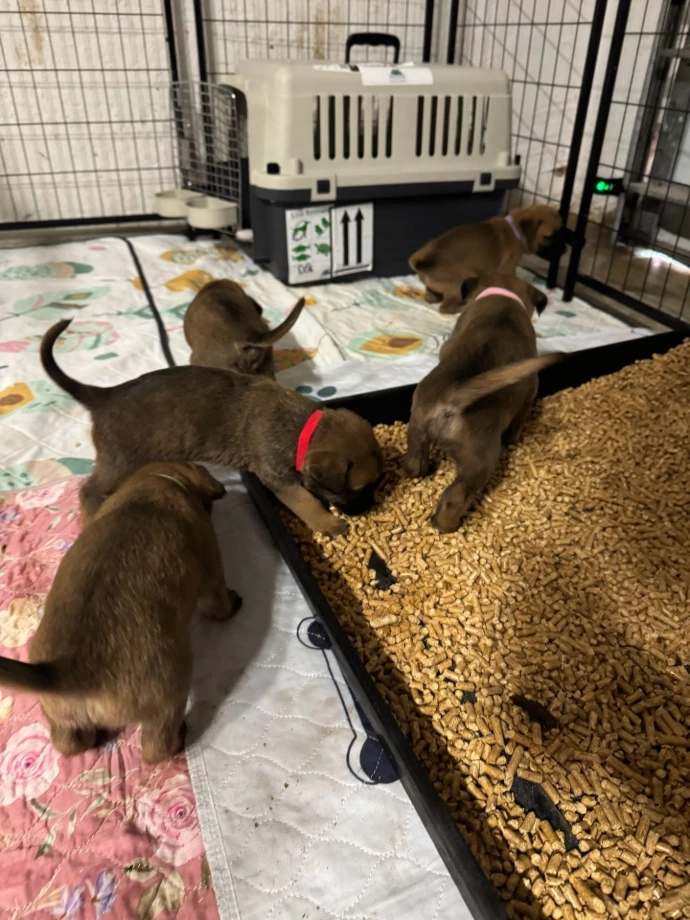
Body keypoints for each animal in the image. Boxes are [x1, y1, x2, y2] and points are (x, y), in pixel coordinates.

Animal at [0, 461, 241, 762]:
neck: (153, 483)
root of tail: (69, 671)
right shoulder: (212, 572)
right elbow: (219, 601)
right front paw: (233, 604)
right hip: (169, 692)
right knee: (155, 747)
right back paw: (179, 737)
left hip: (60, 717)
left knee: (70, 743)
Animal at [41, 320, 383, 537]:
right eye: (356, 489)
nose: (368, 509)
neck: (303, 429)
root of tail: (103, 395)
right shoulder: (277, 478)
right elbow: (306, 502)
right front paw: (329, 524)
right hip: (121, 460)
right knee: (88, 491)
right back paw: (89, 518)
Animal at [404, 276, 562, 533]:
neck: (504, 300)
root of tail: (453, 396)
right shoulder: (529, 393)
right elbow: (518, 422)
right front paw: (514, 439)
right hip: (481, 460)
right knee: (455, 498)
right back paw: (446, 524)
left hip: (417, 428)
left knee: (413, 464)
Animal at [409, 205, 562, 310]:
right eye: (549, 237)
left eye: (561, 232)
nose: (564, 250)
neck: (515, 229)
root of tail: (425, 263)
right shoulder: (508, 269)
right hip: (463, 282)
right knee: (446, 308)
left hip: (433, 288)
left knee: (431, 299)